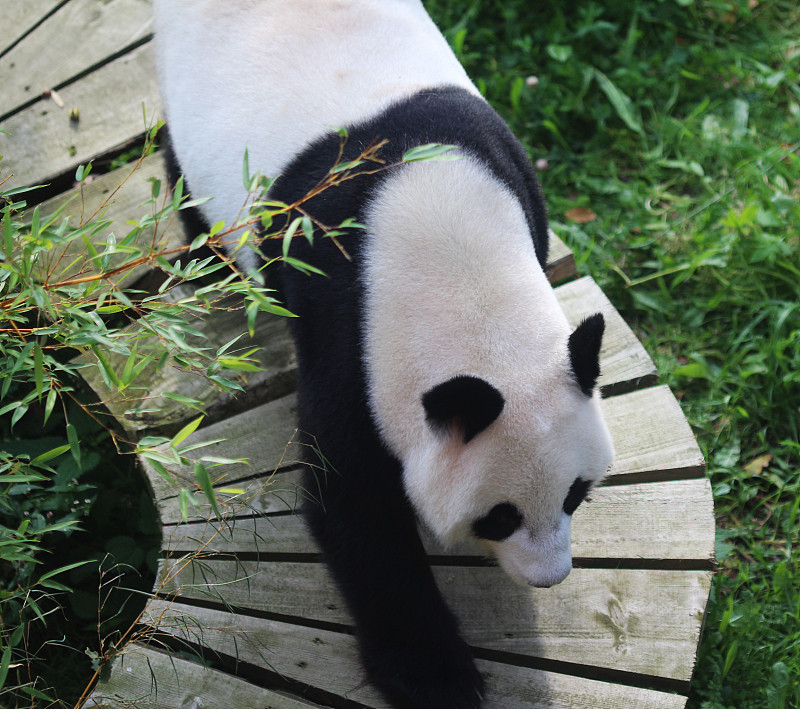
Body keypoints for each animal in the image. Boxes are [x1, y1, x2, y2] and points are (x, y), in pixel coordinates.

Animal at [153, 2, 616, 704]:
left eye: (575, 495)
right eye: (499, 518)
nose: (549, 576)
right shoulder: (346, 331)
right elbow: (351, 500)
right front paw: (434, 677)